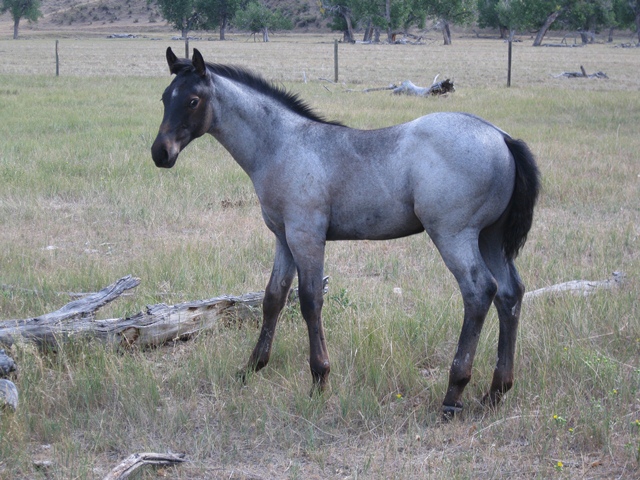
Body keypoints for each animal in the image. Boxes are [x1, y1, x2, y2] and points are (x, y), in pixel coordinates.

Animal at [151, 47, 540, 417]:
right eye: (165, 97)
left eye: (193, 100)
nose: (160, 153)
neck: (282, 146)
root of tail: (502, 137)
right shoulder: (284, 238)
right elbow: (273, 298)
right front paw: (251, 368)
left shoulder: (306, 235)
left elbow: (310, 300)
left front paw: (319, 380)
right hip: (490, 237)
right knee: (510, 293)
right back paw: (495, 392)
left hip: (454, 235)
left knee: (479, 292)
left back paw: (453, 395)